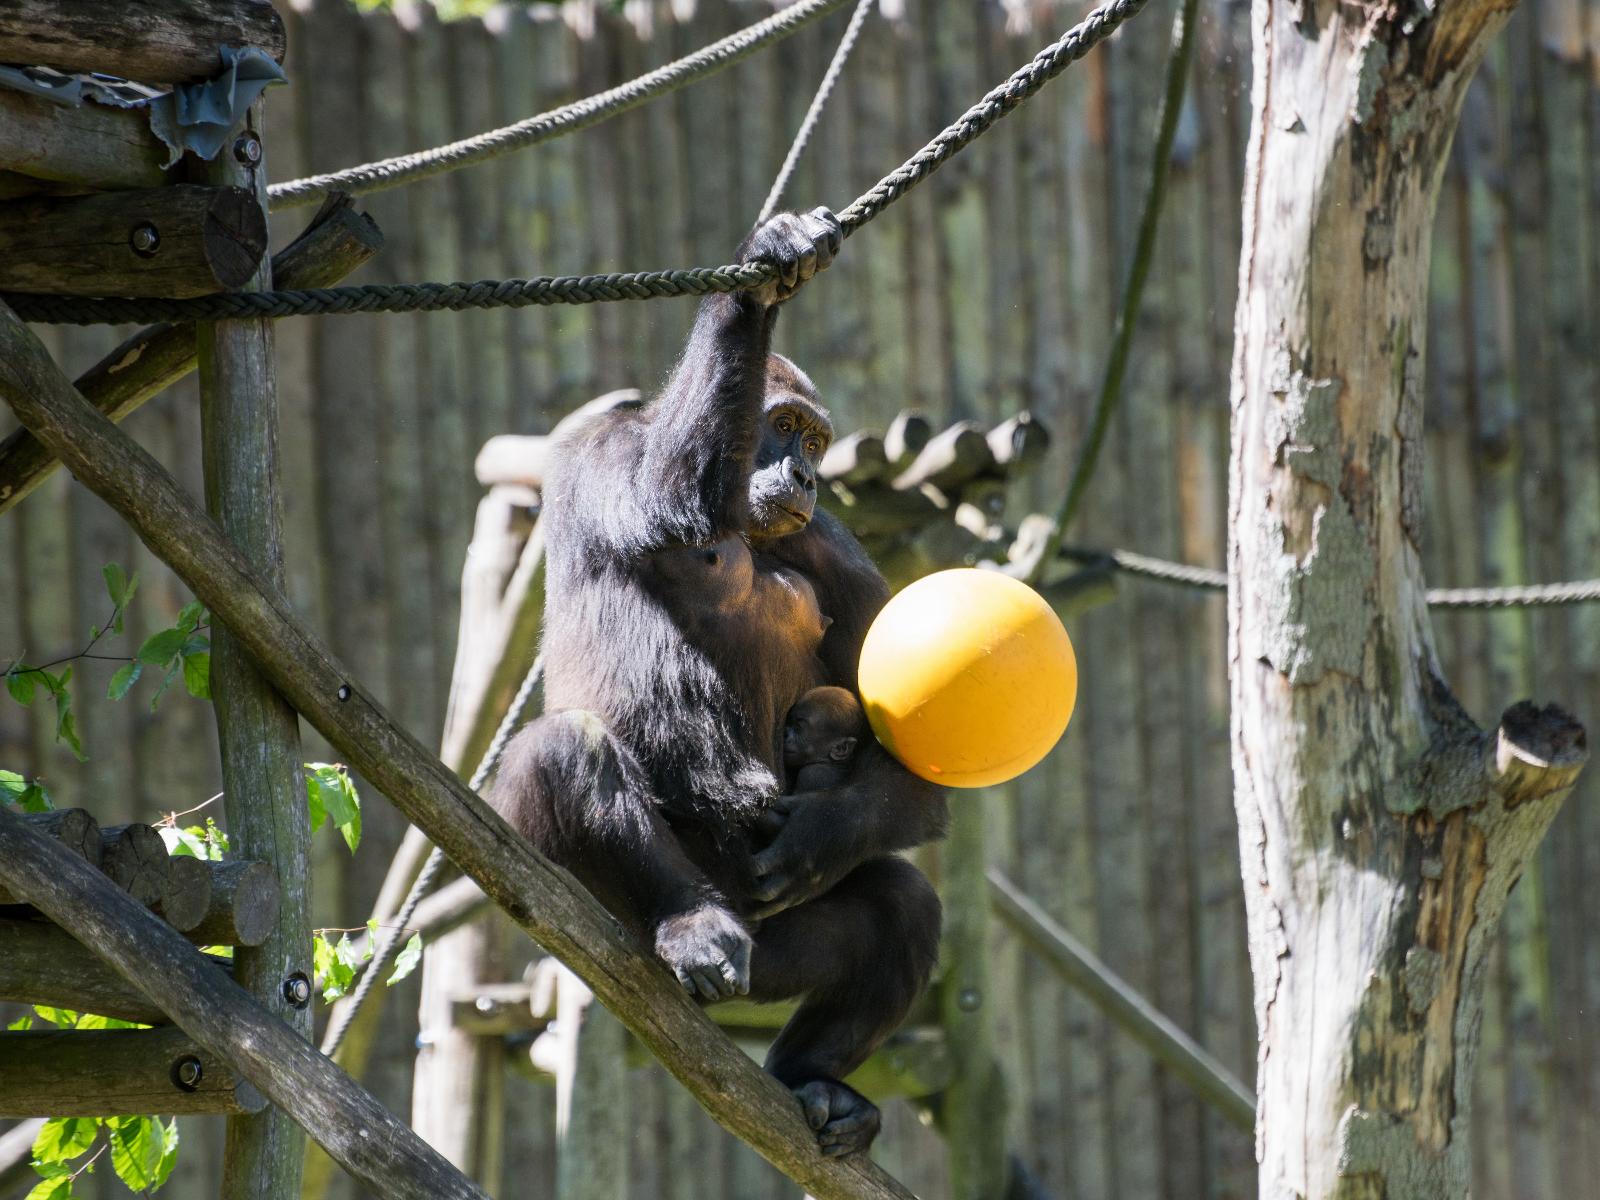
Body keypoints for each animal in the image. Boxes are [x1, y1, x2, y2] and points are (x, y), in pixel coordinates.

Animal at [496, 211, 947, 1158]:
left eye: (815, 441)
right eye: (783, 425)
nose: (804, 471)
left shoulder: (835, 543)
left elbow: (916, 754)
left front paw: (817, 831)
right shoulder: (608, 445)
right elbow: (661, 489)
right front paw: (763, 274)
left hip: (776, 957)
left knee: (900, 907)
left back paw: (816, 1084)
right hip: (592, 918)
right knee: (567, 751)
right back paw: (689, 924)